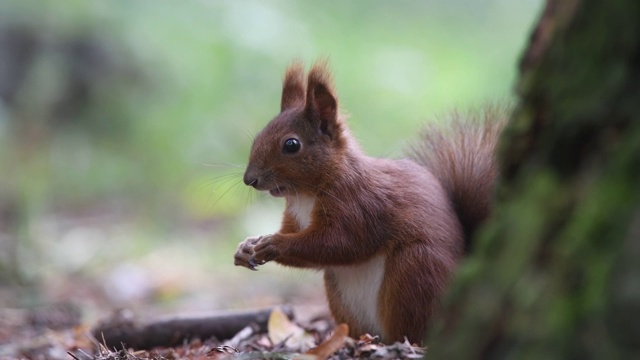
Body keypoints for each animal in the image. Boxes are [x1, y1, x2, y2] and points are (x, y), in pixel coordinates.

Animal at [232, 61, 508, 344]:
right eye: (259, 135)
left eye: (291, 144)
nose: (249, 179)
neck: (306, 195)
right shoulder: (295, 217)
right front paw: (246, 246)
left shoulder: (360, 206)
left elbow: (339, 244)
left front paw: (275, 244)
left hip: (415, 268)